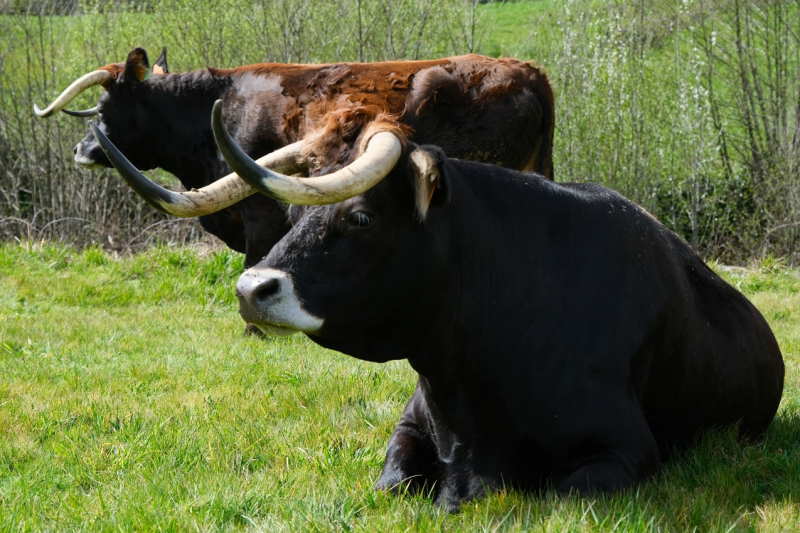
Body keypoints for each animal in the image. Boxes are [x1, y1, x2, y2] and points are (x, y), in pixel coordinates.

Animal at [197, 103, 782, 510]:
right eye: (294, 214)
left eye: (360, 217)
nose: (250, 288)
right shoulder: (411, 425)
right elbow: (393, 482)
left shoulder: (624, 449)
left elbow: (559, 498)